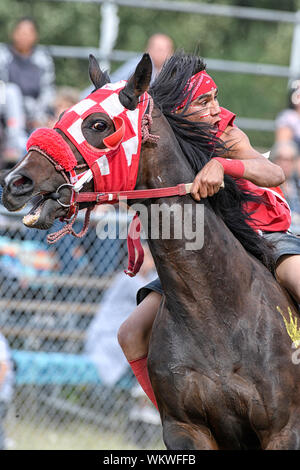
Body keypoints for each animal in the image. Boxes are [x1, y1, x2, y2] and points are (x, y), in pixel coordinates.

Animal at [1, 53, 300, 450]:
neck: (218, 313)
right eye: (61, 115)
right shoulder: (185, 428)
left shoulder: (283, 430)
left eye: (99, 123)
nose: (15, 182)